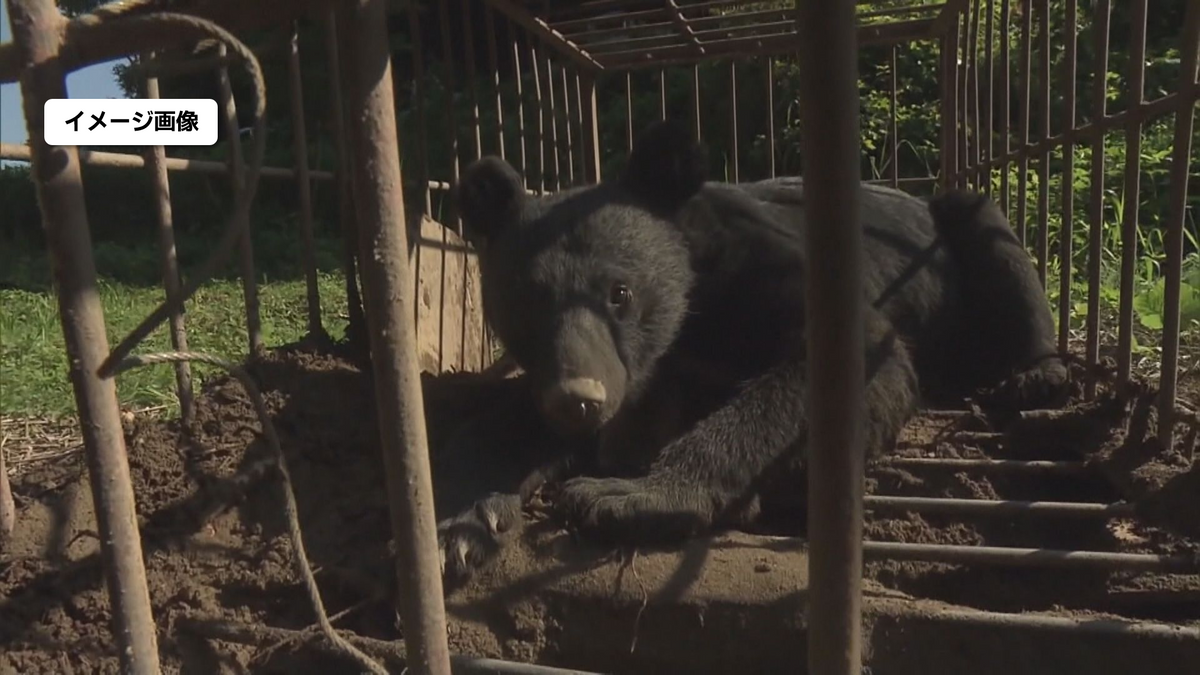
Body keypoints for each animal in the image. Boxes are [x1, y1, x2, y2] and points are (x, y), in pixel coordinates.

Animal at [432, 119, 1068, 583]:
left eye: (621, 292)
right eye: (524, 306)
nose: (578, 400)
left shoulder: (768, 268)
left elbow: (848, 369)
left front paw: (623, 494)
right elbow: (507, 426)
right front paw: (457, 526)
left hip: (960, 240)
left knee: (1000, 250)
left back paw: (1036, 376)